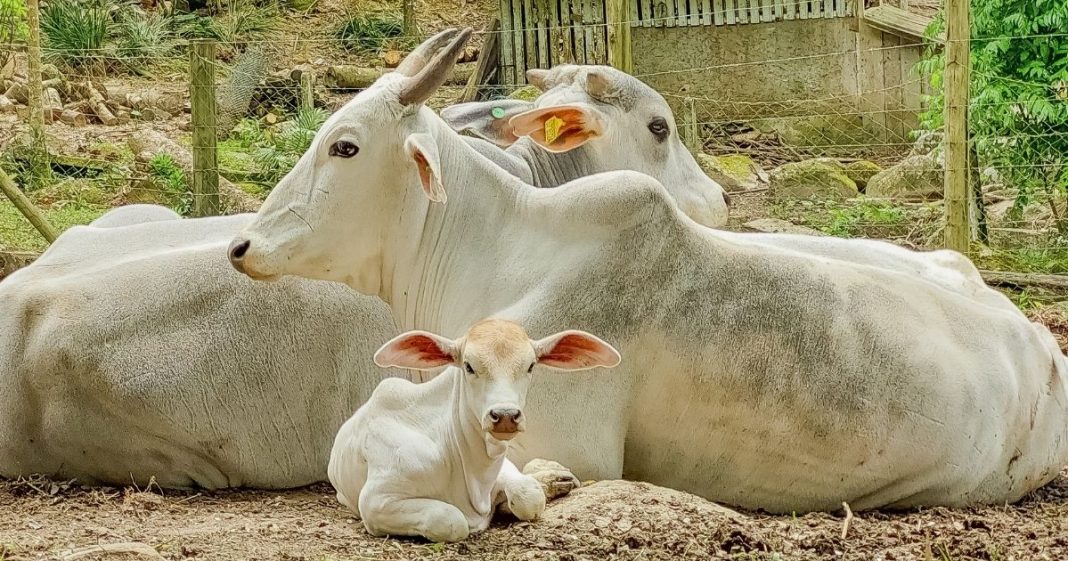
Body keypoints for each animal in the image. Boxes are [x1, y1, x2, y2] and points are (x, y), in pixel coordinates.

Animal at [328, 318, 623, 542]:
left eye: (530, 366)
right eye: (468, 366)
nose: (505, 416)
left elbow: (528, 496)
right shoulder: (375, 500)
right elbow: (451, 520)